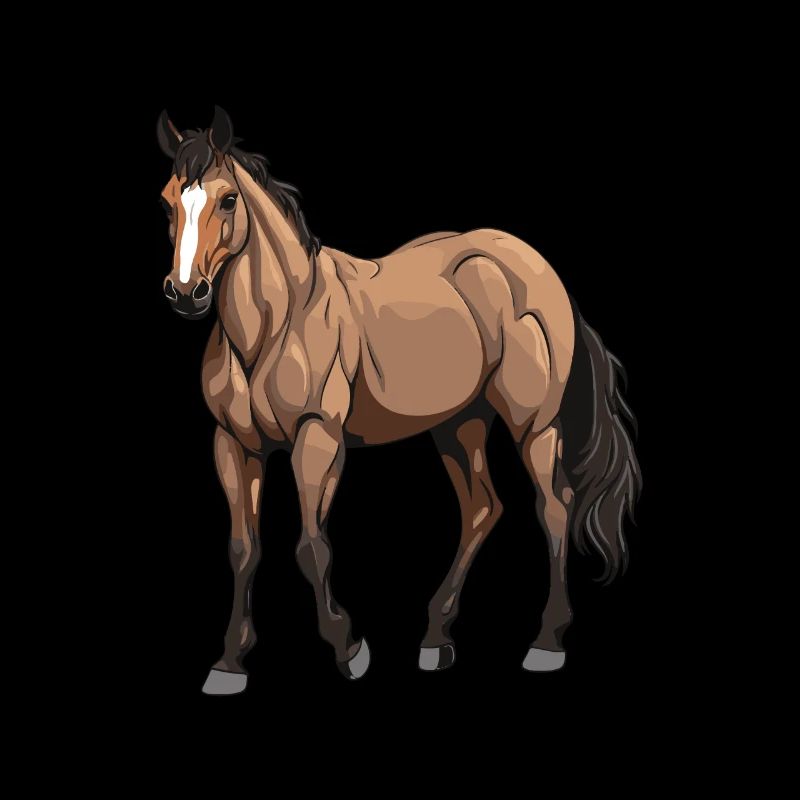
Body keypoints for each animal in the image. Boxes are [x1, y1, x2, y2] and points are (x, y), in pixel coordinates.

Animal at [156, 106, 641, 695]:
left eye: (228, 199)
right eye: (167, 200)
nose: (186, 293)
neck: (277, 324)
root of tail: (540, 271)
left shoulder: (318, 439)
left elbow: (311, 546)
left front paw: (350, 650)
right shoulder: (233, 445)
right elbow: (243, 549)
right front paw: (229, 663)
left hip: (536, 428)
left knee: (553, 507)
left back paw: (546, 643)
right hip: (459, 424)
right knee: (482, 507)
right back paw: (436, 639)